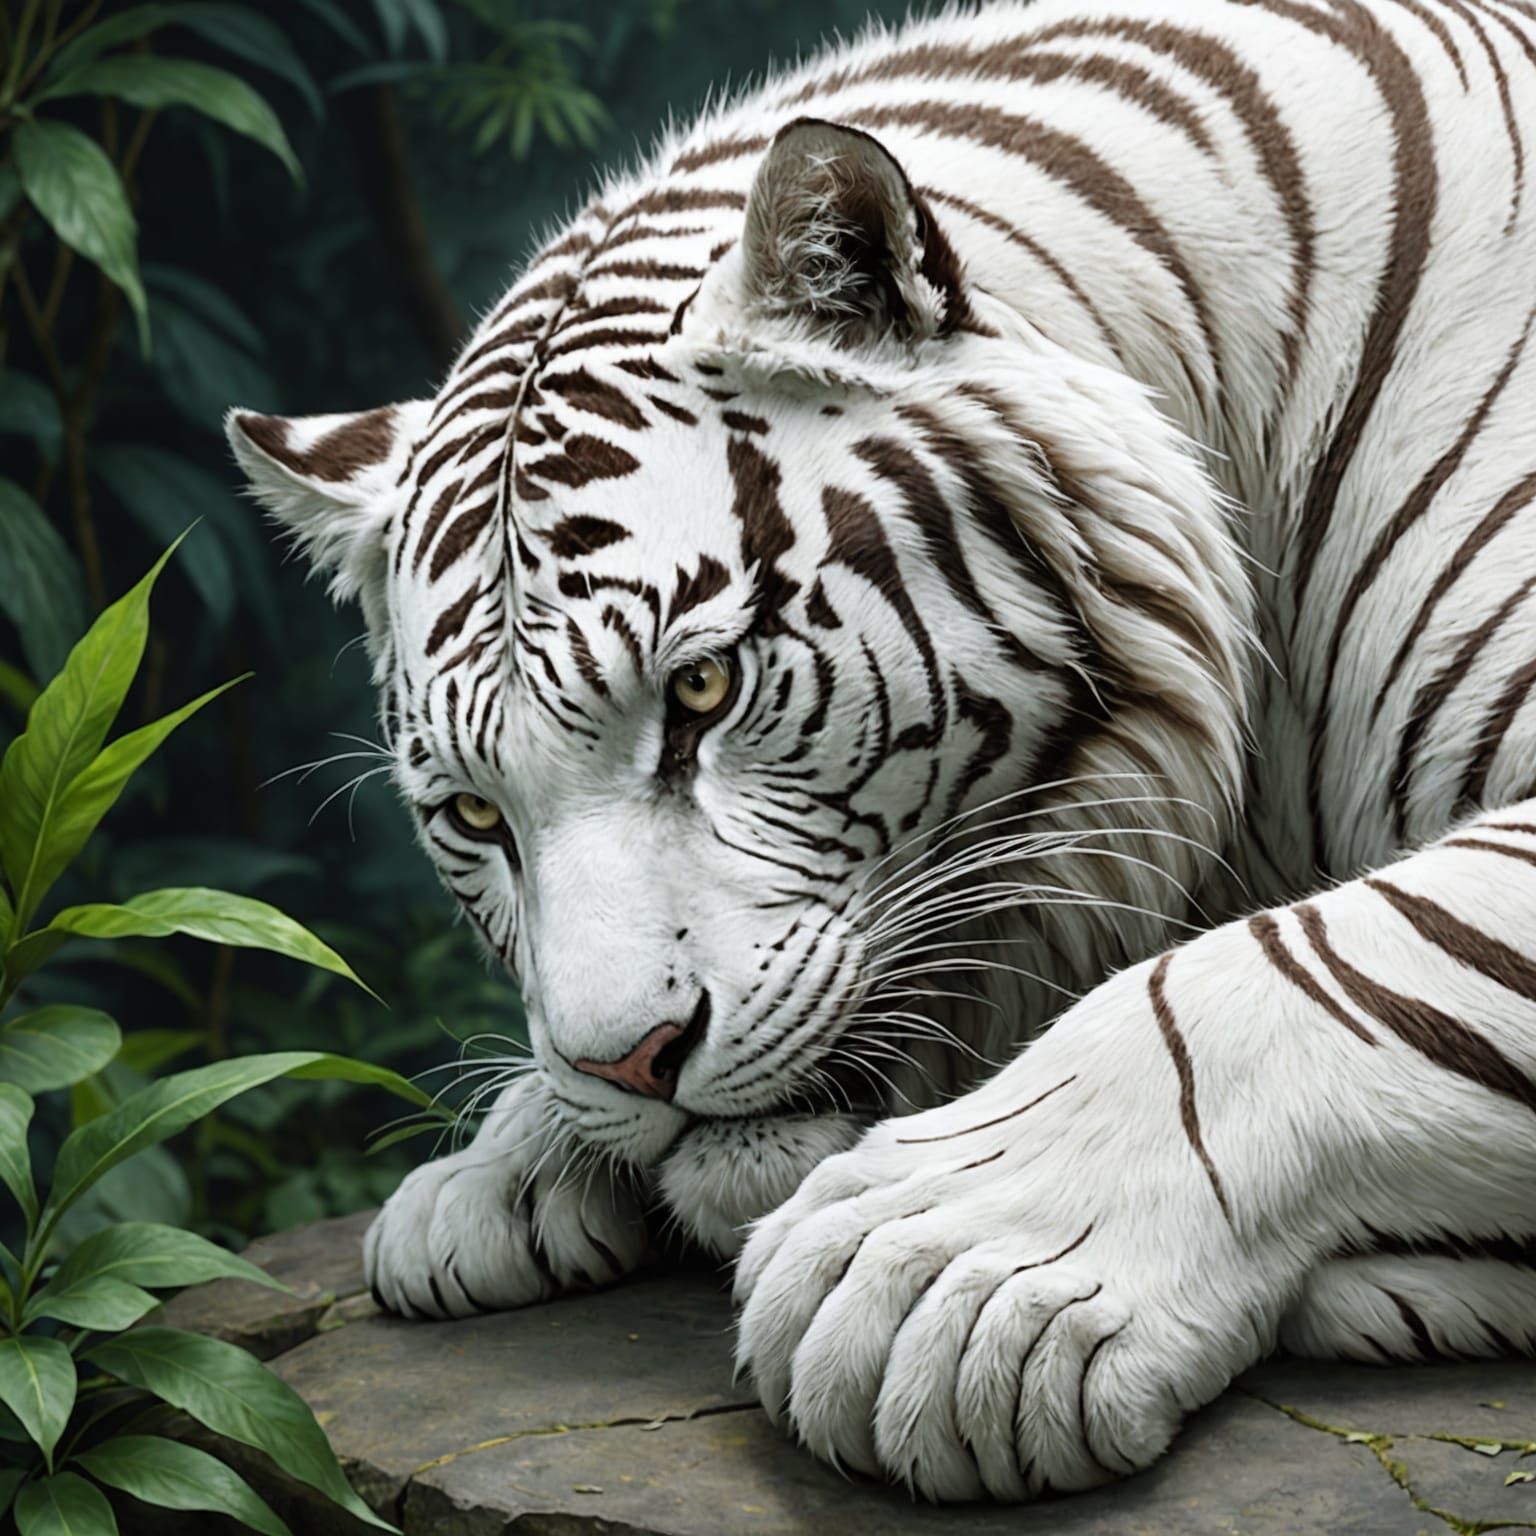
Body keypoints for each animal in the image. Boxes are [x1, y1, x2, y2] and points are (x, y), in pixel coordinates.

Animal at [228, 0, 1536, 1501]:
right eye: (477, 817)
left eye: (703, 688)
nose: (630, 1066)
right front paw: (501, 1165)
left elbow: (1309, 971)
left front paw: (947, 1273)